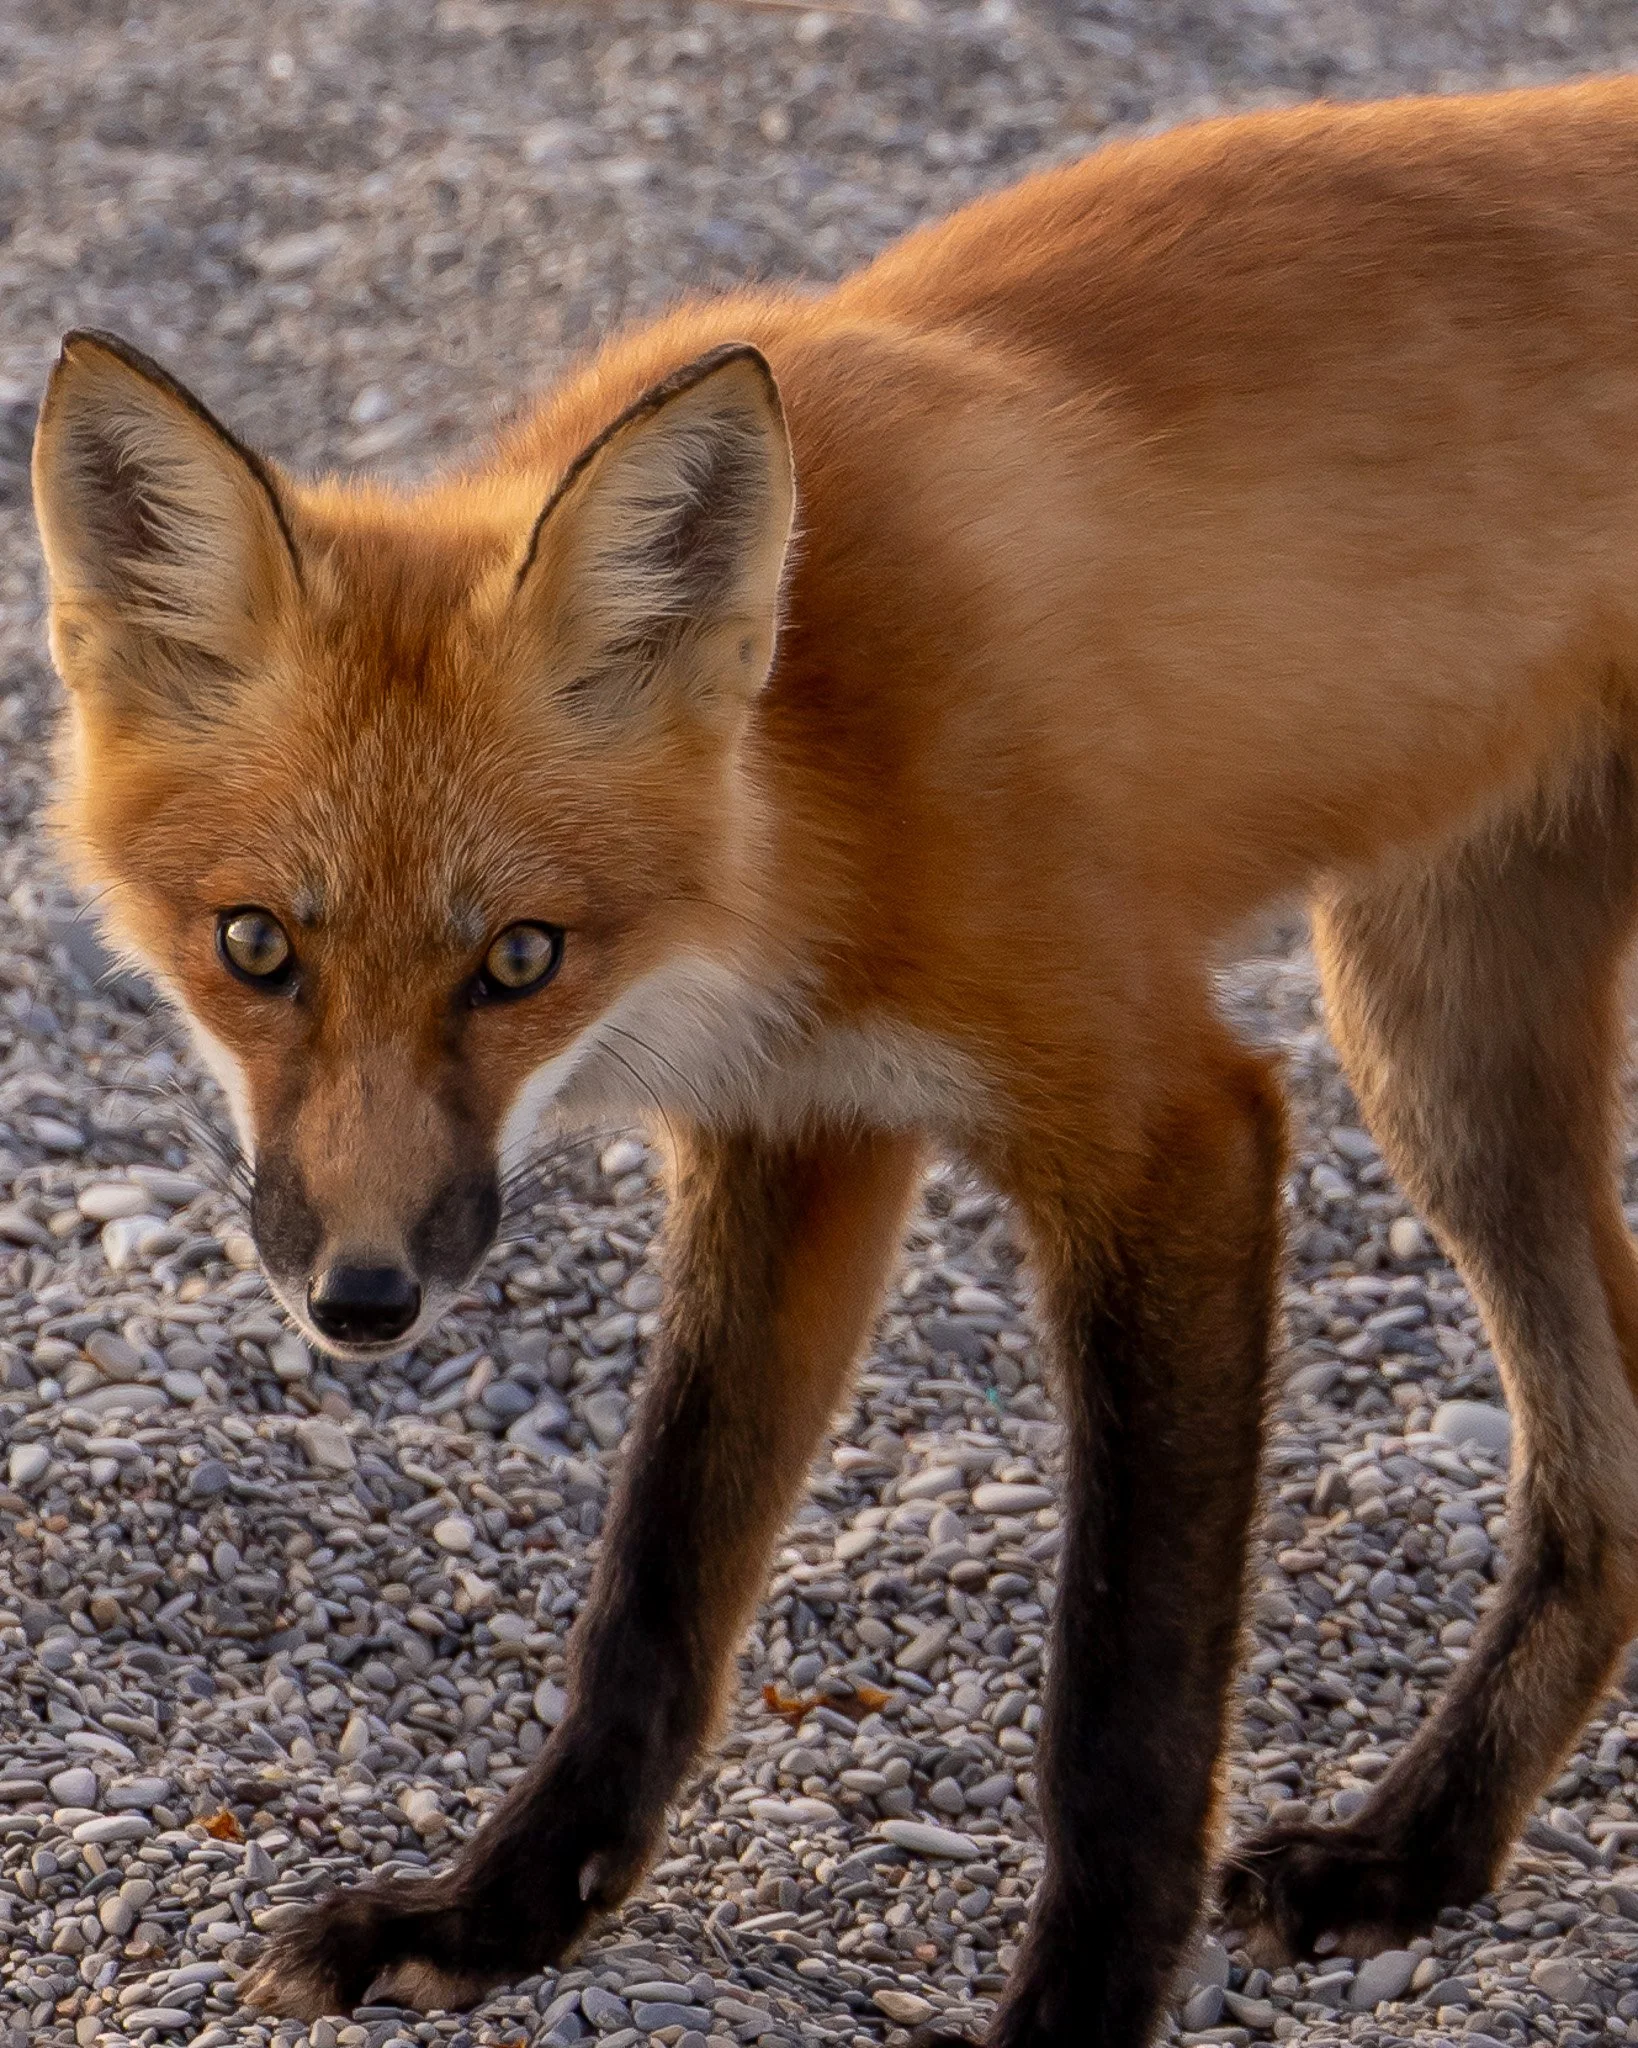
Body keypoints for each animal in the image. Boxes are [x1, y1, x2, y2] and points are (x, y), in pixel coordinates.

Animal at [27, 71, 1638, 2048]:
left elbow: (1122, 1695)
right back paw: (1419, 1854)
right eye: (256, 946)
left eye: (517, 958)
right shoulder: (801, 1130)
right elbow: (653, 1586)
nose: (365, 1298)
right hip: (1435, 1041)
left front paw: (1076, 2010)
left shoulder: (1169, 1125)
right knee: (1604, 1480)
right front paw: (501, 1914)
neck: (810, 809)